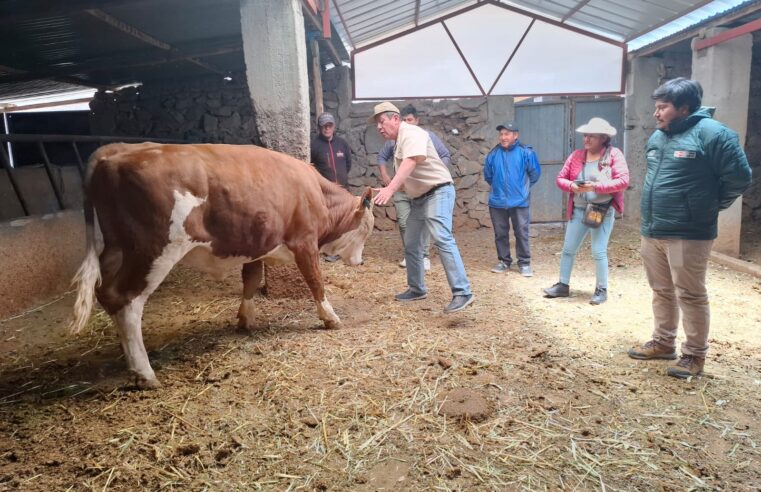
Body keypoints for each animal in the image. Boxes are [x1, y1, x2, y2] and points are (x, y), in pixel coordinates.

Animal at [70, 141, 372, 388]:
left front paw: (245, 318)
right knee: (126, 300)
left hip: (115, 249)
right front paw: (330, 318)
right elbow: (315, 281)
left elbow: (251, 279)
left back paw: (127, 355)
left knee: (105, 293)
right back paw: (144, 372)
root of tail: (115, 149)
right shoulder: (305, 242)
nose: (360, 262)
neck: (316, 193)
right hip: (152, 251)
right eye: (367, 229)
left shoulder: (257, 245)